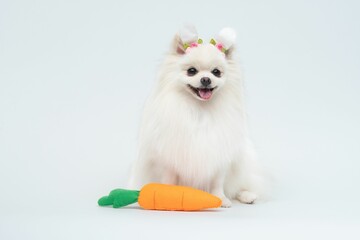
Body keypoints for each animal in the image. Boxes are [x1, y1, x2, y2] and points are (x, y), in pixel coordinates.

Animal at [128, 25, 262, 207]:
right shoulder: (169, 161)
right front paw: (168, 197)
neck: (200, 110)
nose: (206, 79)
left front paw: (221, 199)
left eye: (216, 72)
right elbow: (169, 181)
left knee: (238, 186)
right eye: (191, 71)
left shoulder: (219, 157)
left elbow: (217, 183)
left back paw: (246, 195)